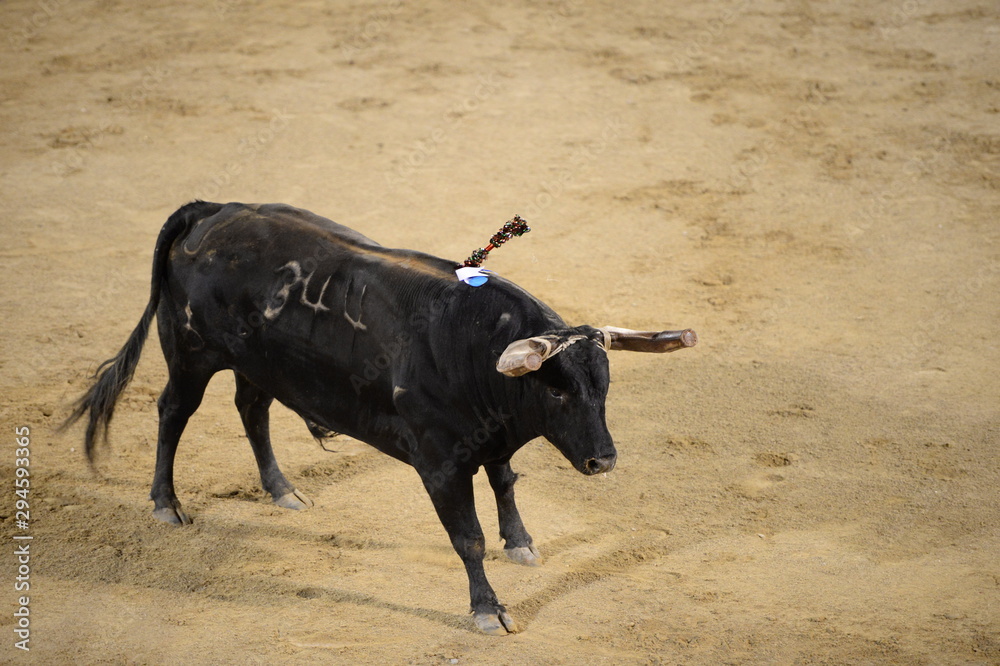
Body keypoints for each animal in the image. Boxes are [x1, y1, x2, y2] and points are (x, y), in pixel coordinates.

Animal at [63, 201, 697, 635]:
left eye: (603, 389)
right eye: (560, 393)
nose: (603, 460)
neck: (469, 346)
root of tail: (213, 210)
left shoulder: (493, 441)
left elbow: (506, 483)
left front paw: (520, 543)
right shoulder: (440, 465)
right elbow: (467, 538)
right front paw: (488, 610)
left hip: (259, 364)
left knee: (252, 410)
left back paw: (283, 490)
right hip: (191, 354)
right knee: (173, 412)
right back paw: (166, 504)